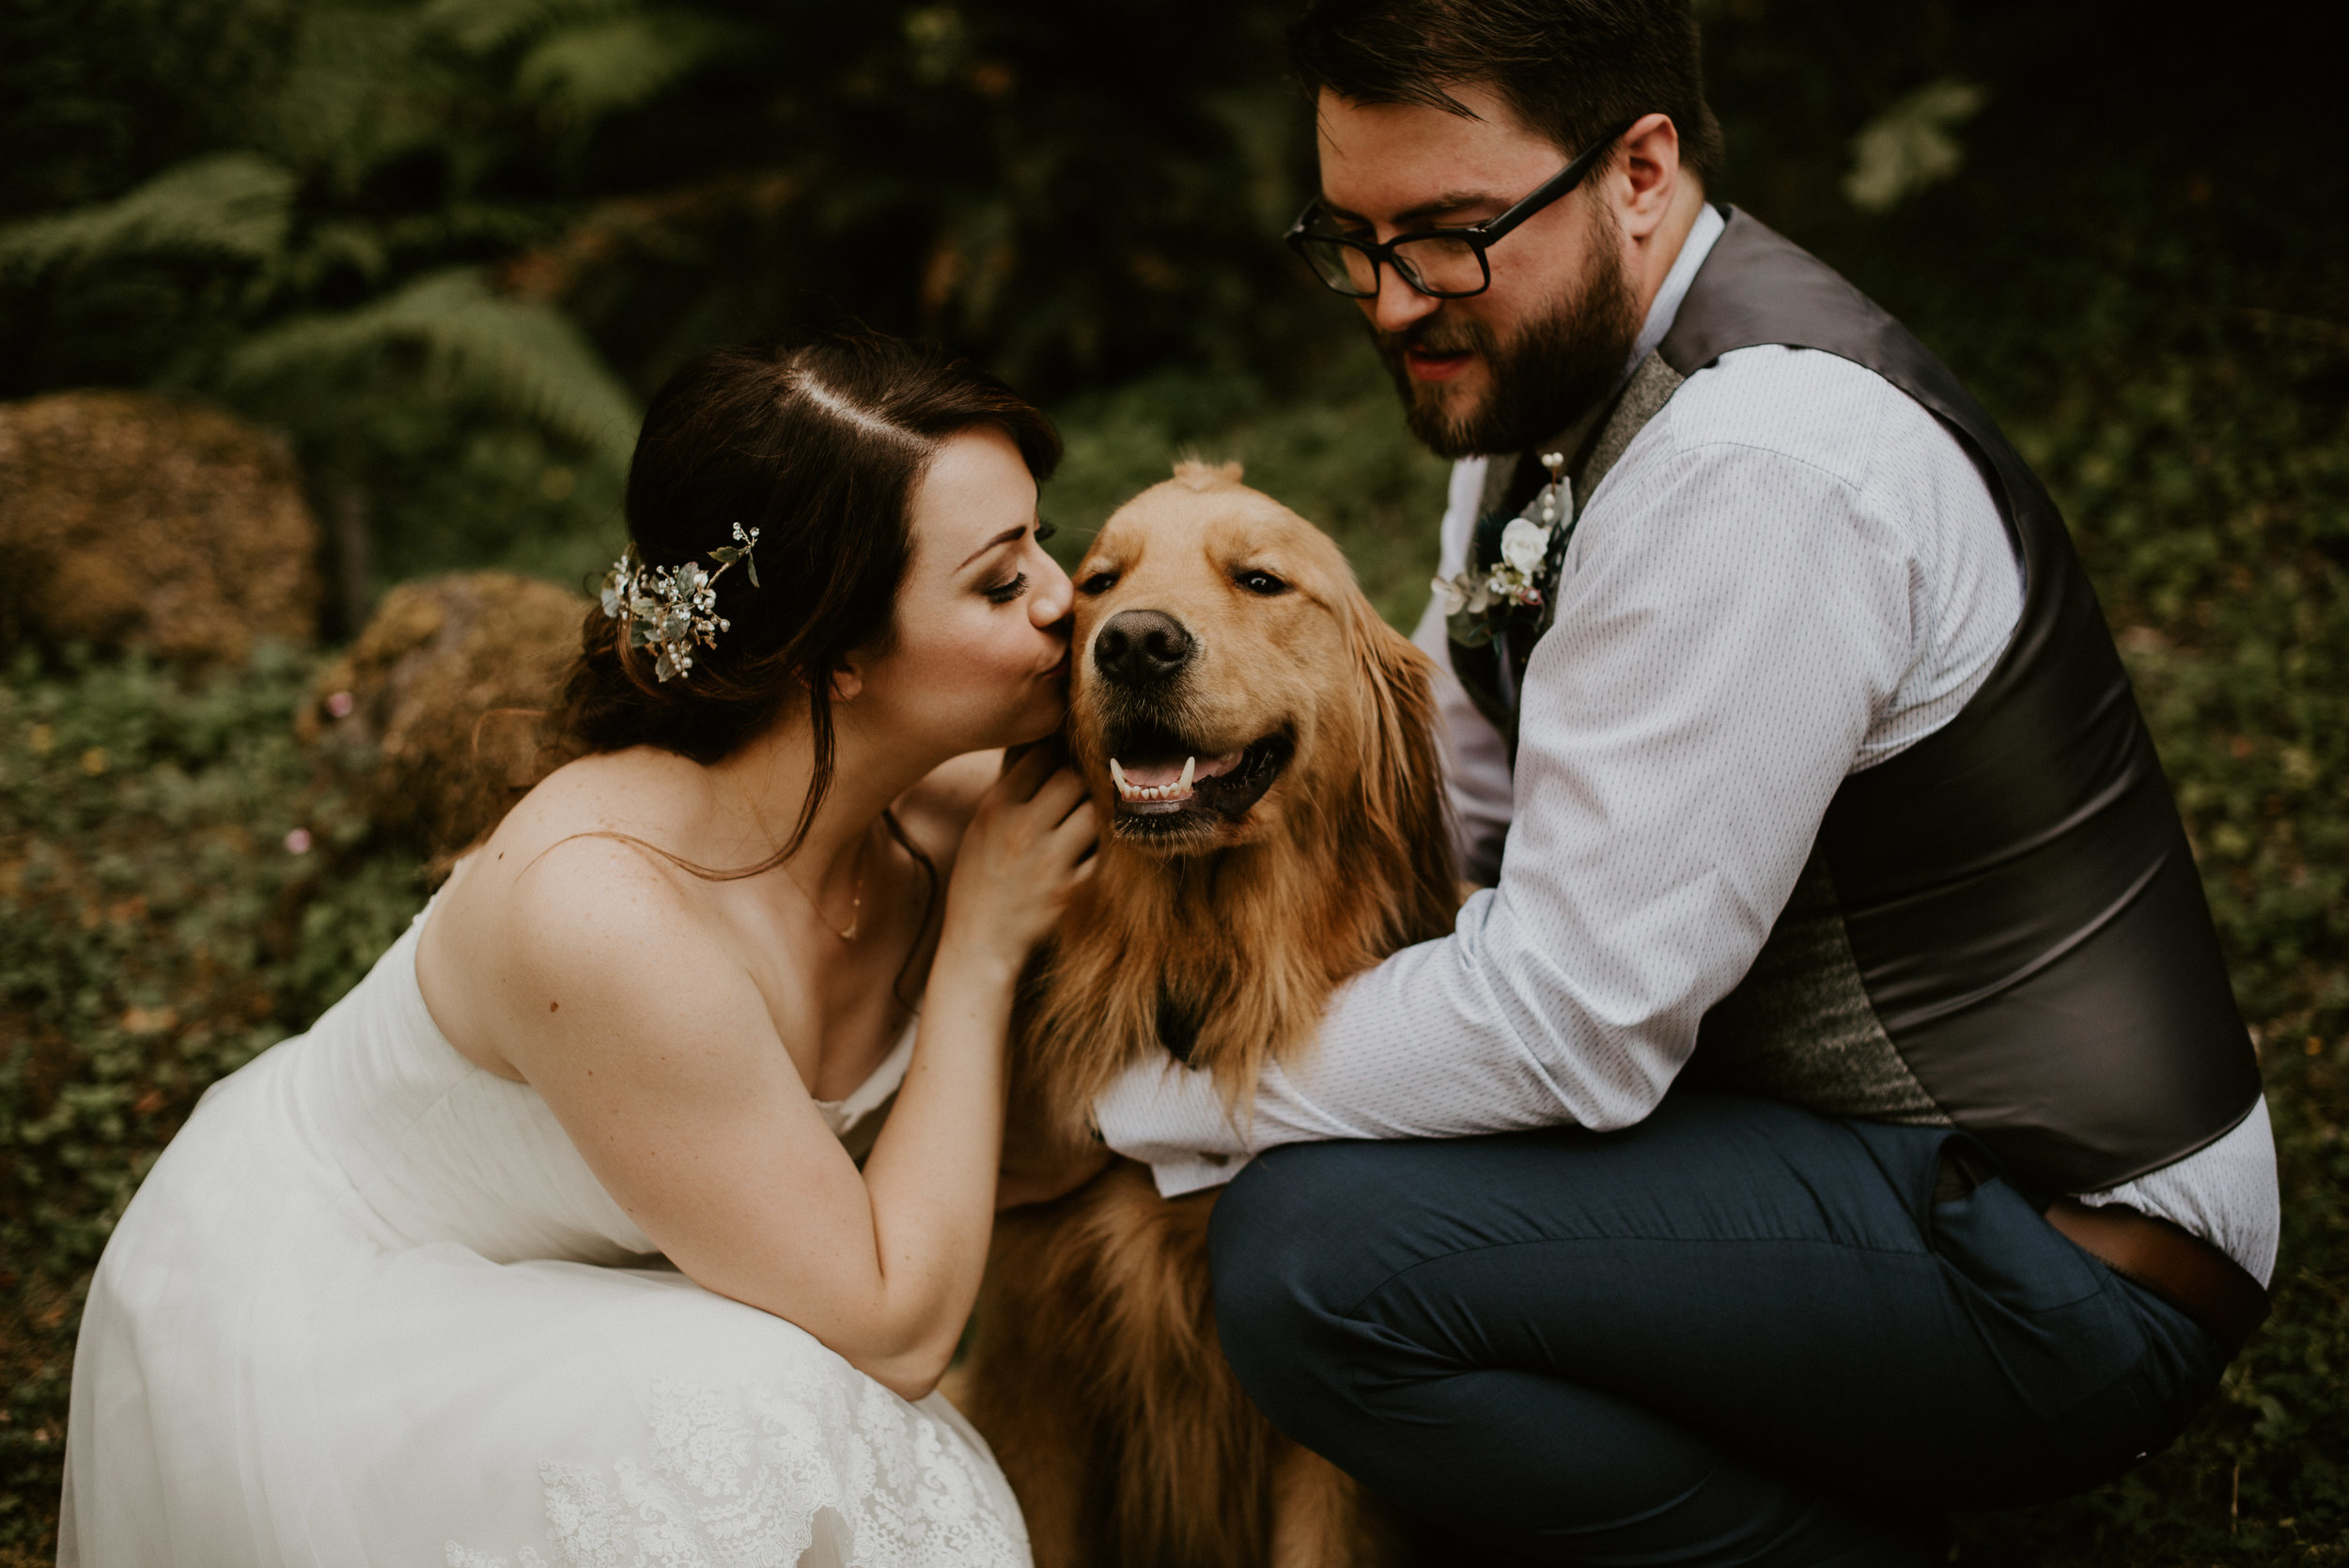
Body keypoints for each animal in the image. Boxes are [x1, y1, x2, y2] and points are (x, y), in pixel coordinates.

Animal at [949, 462, 1456, 1568]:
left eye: (1260, 579)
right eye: (1097, 582)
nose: (1135, 641)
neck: (1194, 961)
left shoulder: (1320, 1455)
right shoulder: (1031, 1363)